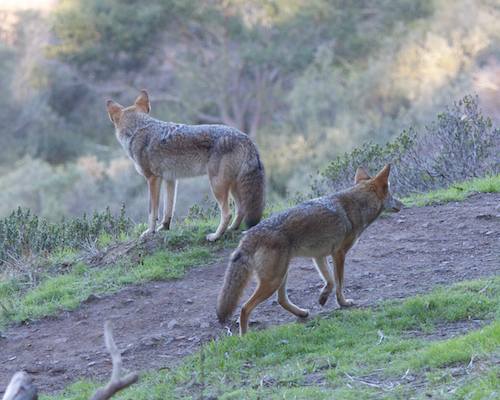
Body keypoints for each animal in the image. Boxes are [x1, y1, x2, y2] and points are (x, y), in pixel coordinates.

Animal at [106, 90, 265, 241]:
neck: (138, 130)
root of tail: (246, 138)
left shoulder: (152, 179)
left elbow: (152, 211)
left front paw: (149, 232)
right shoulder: (170, 180)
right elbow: (168, 210)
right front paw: (163, 228)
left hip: (217, 186)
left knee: (227, 213)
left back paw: (215, 236)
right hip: (232, 186)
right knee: (241, 209)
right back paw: (232, 229)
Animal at [216, 164, 403, 334]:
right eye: (392, 194)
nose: (402, 204)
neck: (358, 205)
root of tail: (248, 235)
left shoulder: (319, 256)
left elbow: (330, 281)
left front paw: (323, 297)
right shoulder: (339, 254)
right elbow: (339, 283)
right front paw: (343, 303)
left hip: (281, 276)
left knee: (281, 300)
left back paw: (302, 313)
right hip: (273, 281)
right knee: (245, 308)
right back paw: (245, 337)